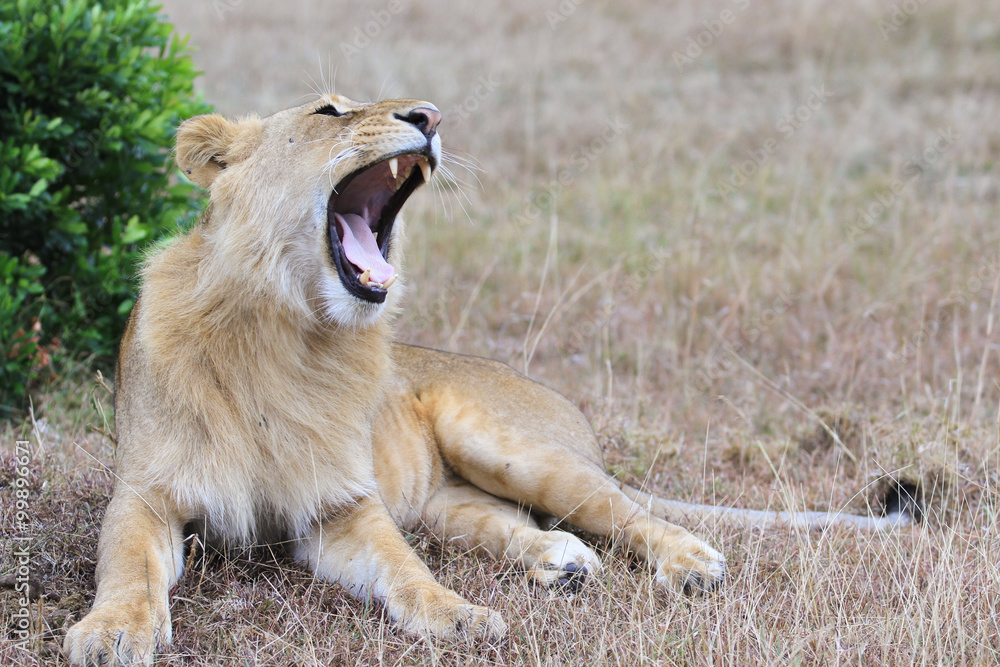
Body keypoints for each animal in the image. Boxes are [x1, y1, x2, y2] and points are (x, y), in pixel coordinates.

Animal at [63, 94, 912, 666]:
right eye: (331, 110)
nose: (430, 114)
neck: (287, 331)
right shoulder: (147, 492)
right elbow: (128, 563)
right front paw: (112, 631)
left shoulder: (342, 506)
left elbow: (403, 569)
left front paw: (459, 617)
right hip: (444, 501)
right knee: (509, 521)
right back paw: (560, 563)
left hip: (502, 440)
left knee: (626, 511)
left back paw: (689, 563)